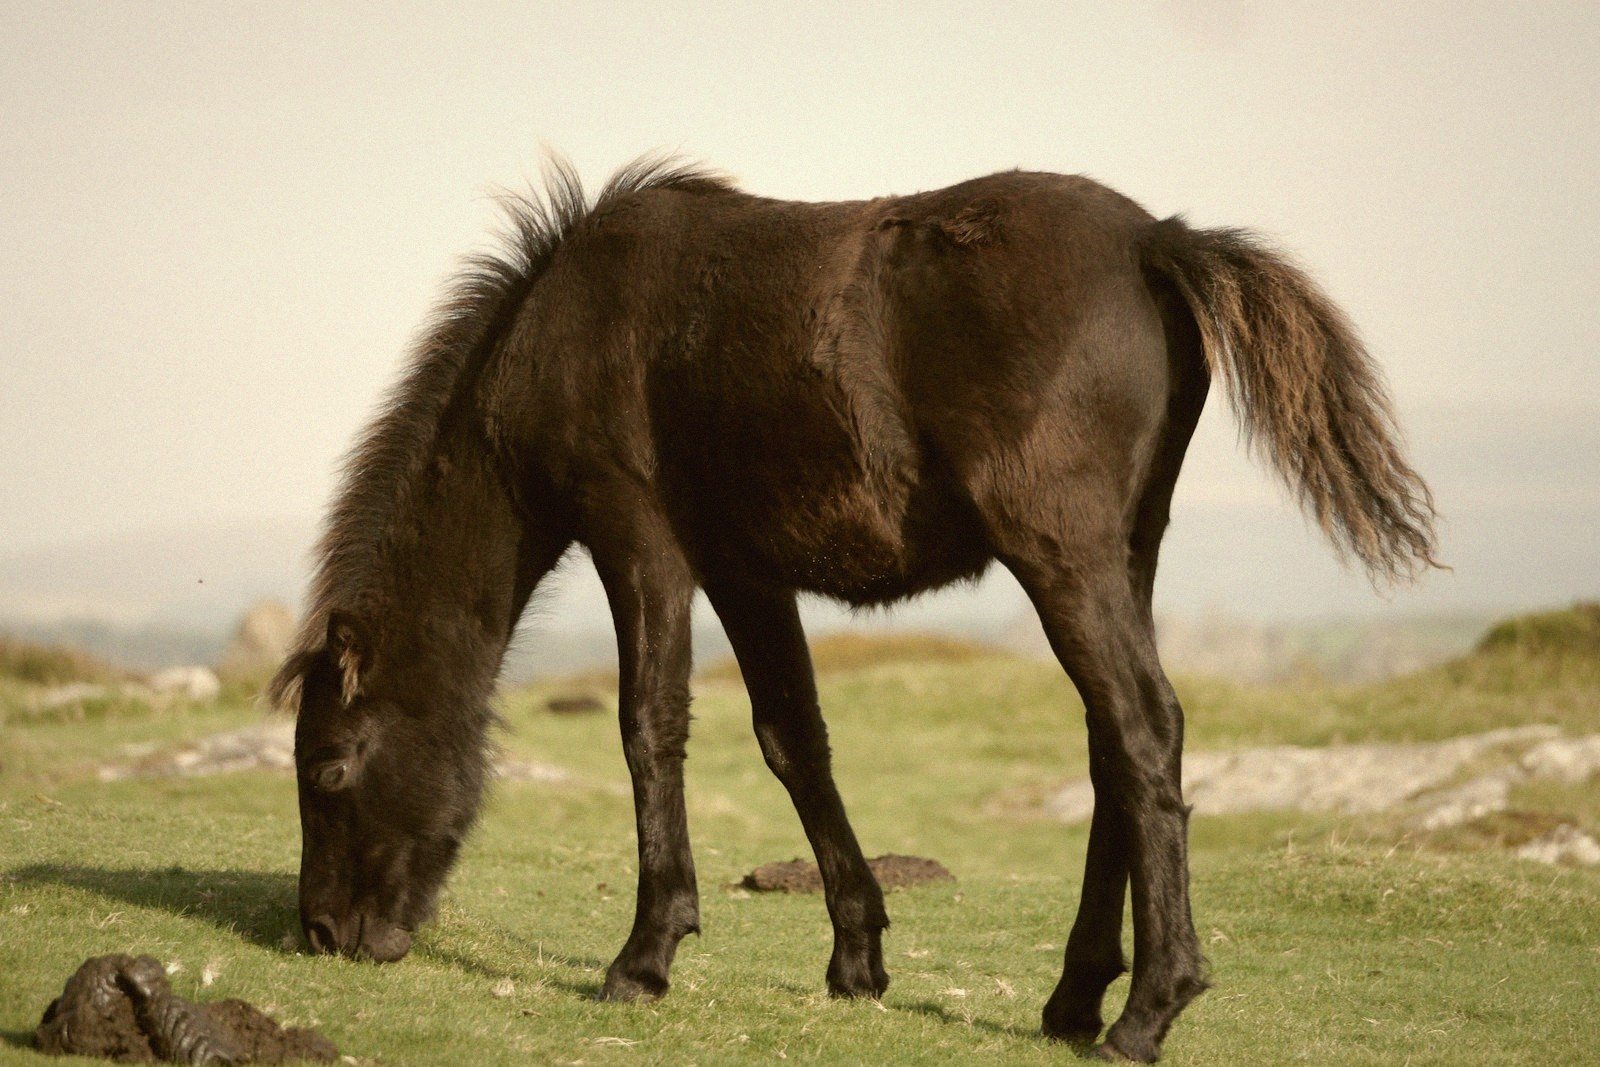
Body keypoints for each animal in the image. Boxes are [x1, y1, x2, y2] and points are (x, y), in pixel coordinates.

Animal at [269, 154, 1437, 1062]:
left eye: (327, 769)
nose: (322, 932)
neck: (559, 329)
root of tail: (1156, 240)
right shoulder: (744, 570)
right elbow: (795, 739)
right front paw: (857, 954)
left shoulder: (640, 539)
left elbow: (651, 727)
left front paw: (644, 954)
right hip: (1122, 554)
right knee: (1114, 740)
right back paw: (1072, 995)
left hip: (1061, 555)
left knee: (1146, 727)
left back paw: (1148, 1009)